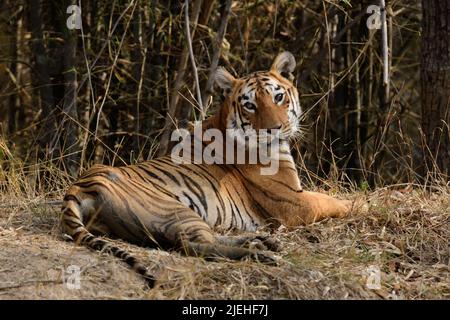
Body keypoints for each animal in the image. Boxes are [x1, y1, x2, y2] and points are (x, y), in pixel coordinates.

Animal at [60, 52, 362, 288]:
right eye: (249, 104)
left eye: (278, 97)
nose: (273, 129)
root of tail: (80, 186)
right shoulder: (292, 203)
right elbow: (335, 202)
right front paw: (365, 205)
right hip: (173, 209)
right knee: (193, 246)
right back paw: (259, 254)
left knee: (207, 237)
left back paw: (260, 242)